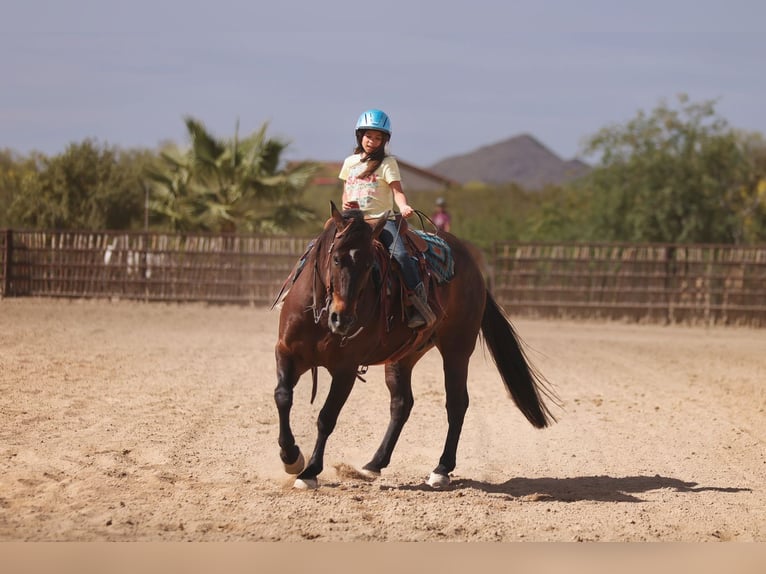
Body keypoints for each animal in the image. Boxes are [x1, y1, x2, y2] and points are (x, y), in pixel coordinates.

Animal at [273, 202, 558, 490]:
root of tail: (475, 271)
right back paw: (374, 463)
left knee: (456, 403)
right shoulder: (286, 352)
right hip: (404, 356)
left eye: (369, 265)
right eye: (336, 259)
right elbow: (282, 396)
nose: (343, 319)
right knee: (402, 403)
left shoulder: (346, 369)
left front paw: (309, 472)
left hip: (457, 350)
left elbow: (326, 417)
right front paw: (291, 457)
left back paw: (441, 469)